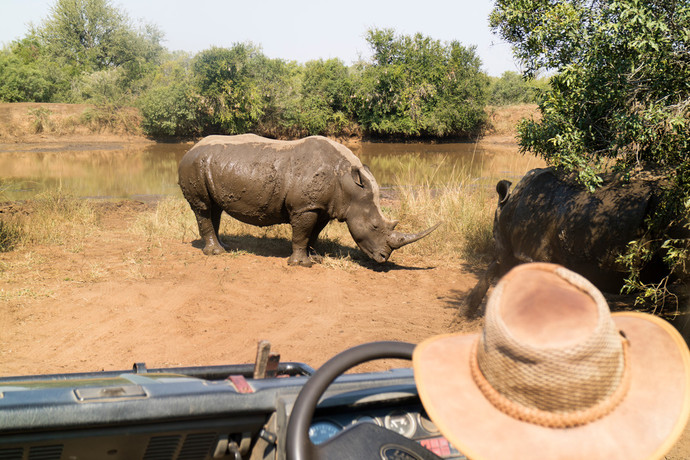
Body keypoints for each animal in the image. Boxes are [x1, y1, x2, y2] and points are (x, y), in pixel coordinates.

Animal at [178, 134, 439, 266]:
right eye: (375, 226)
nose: (384, 259)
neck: (347, 182)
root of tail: (190, 149)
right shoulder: (304, 207)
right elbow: (302, 233)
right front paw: (301, 264)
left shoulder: (323, 206)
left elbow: (314, 234)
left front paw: (315, 257)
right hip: (194, 165)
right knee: (203, 208)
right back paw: (216, 254)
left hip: (208, 164)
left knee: (214, 208)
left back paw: (225, 247)